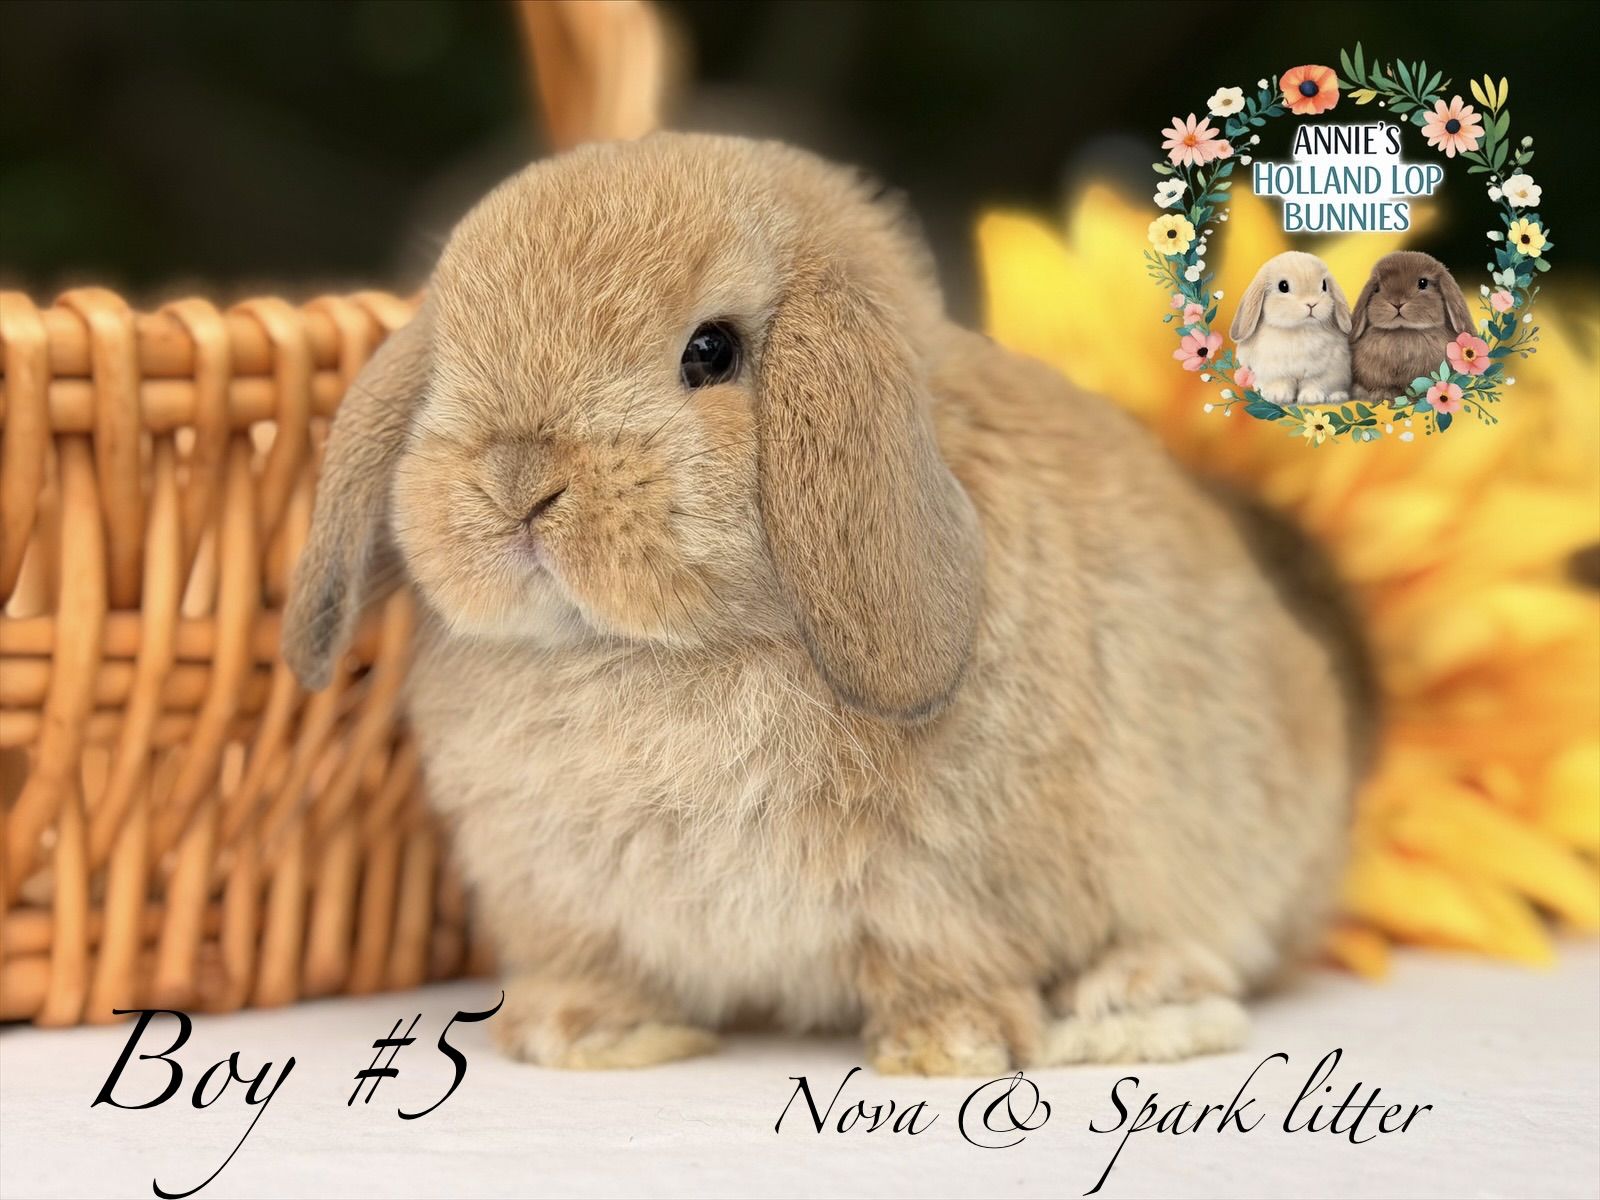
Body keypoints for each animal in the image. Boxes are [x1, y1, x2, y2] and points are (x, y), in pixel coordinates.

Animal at [1229, 251, 1353, 405]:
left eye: (1324, 285)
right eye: (1283, 286)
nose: (1312, 304)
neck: (1300, 329)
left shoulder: (1323, 370)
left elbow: (1314, 382)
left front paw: (1311, 398)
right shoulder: (1274, 370)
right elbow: (1281, 382)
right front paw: (1278, 396)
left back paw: (1338, 396)